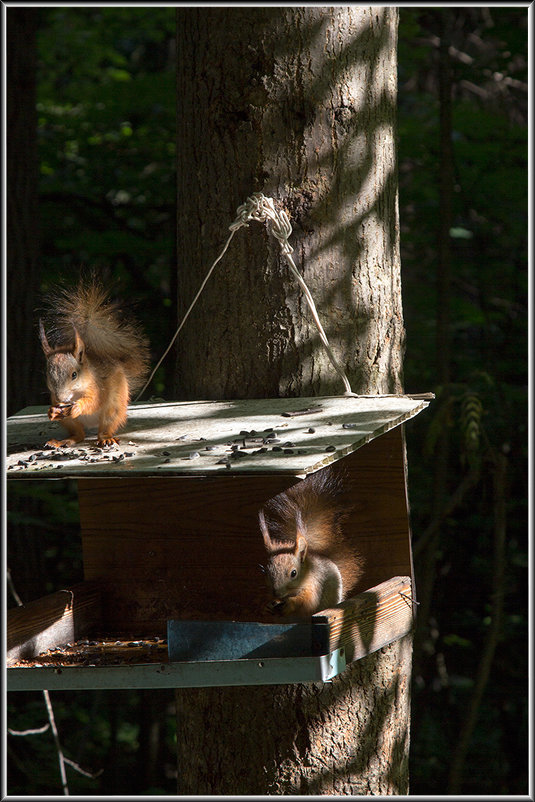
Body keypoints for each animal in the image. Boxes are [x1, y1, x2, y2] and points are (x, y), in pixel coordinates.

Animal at [38, 278, 150, 446]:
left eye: (74, 374)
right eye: (47, 375)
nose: (61, 399)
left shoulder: (97, 387)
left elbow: (94, 402)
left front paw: (78, 407)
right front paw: (51, 411)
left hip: (113, 408)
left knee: (105, 427)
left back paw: (106, 438)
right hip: (70, 422)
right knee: (79, 435)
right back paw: (62, 441)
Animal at [260, 466, 364, 616]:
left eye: (294, 573)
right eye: (266, 572)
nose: (277, 594)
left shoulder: (314, 584)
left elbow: (308, 601)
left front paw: (290, 603)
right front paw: (266, 605)